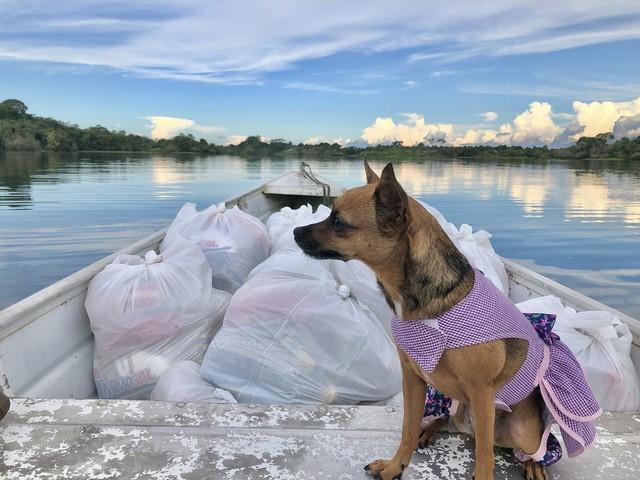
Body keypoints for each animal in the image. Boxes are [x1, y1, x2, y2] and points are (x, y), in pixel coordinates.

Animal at [296, 162, 600, 480]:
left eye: (338, 222)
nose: (295, 231)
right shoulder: (413, 379)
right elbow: (407, 427)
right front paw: (396, 465)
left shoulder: (481, 392)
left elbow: (484, 456)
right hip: (464, 411)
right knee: (454, 424)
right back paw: (430, 428)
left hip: (519, 428)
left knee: (524, 444)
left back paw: (533, 463)